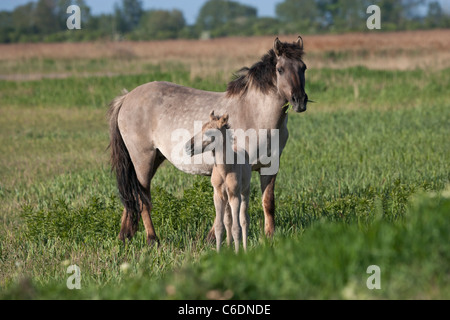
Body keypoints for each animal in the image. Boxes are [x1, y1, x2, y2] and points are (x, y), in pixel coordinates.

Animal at [184, 112, 251, 252]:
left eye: (209, 132)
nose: (187, 147)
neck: (224, 170)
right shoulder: (218, 195)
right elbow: (220, 227)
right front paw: (219, 253)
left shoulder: (234, 195)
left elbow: (236, 228)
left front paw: (238, 254)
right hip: (226, 199)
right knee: (228, 221)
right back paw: (229, 246)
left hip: (245, 193)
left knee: (244, 220)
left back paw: (245, 248)